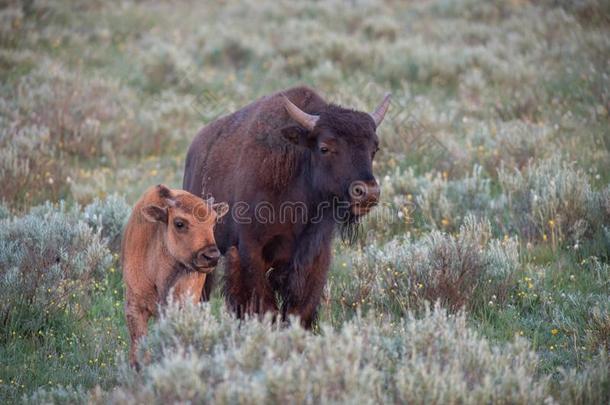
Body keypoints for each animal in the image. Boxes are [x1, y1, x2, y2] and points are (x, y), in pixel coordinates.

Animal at [182, 86, 390, 328]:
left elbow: (300, 310)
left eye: (374, 148)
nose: (368, 192)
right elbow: (266, 307)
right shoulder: (251, 250)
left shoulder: (315, 256)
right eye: (324, 147)